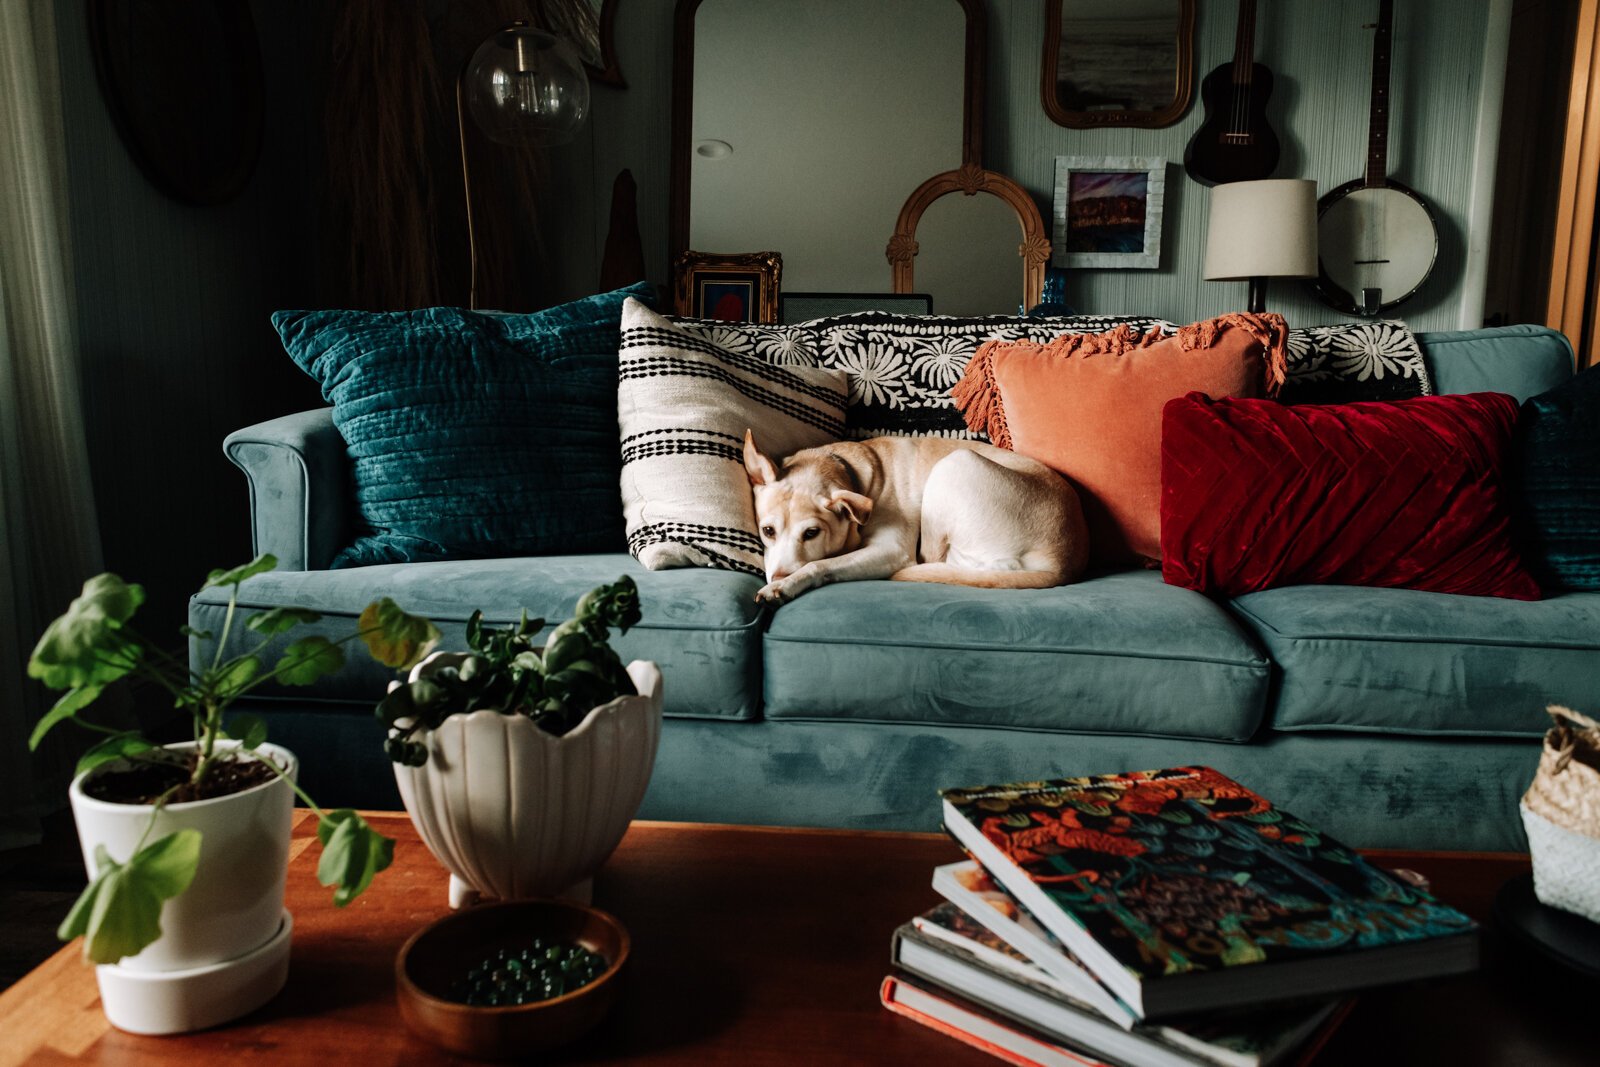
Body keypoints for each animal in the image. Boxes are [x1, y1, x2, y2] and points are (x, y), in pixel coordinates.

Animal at [745, 428, 1094, 604]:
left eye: (811, 533)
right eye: (768, 531)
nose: (778, 576)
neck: (846, 469)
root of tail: (1064, 561)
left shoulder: (892, 551)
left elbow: (820, 564)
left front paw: (785, 586)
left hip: (955, 463)